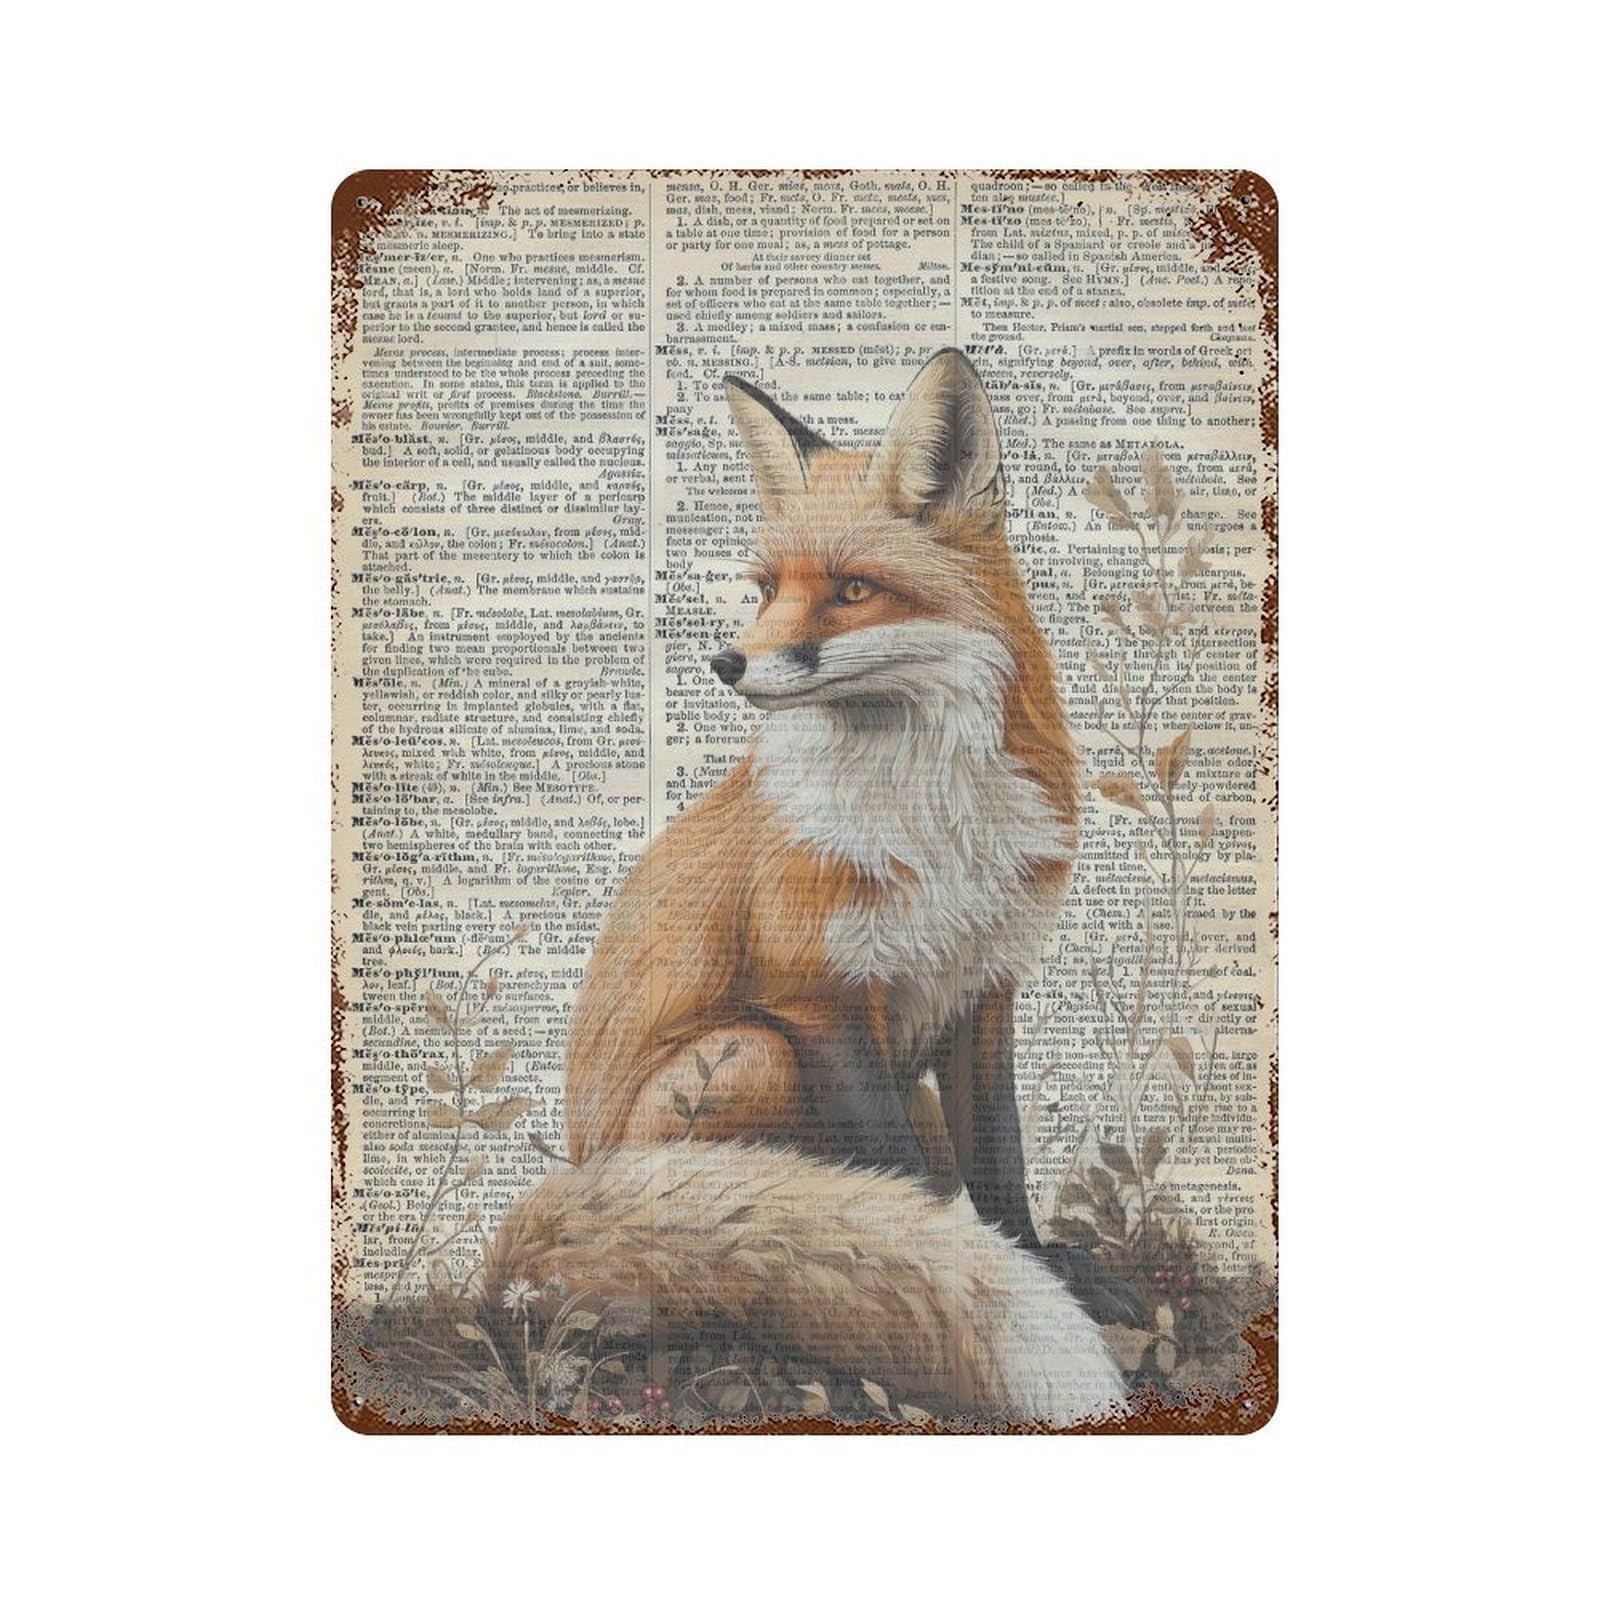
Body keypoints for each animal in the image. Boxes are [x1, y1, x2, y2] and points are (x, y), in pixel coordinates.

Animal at [485, 349, 1123, 1425]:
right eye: (766, 588)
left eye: (854, 588)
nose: (725, 660)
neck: (931, 821)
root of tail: (577, 1166)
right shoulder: (814, 1000)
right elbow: (904, 1191)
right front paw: (943, 1273)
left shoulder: (984, 990)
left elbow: (999, 1163)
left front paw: (1032, 1260)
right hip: (750, 1055)